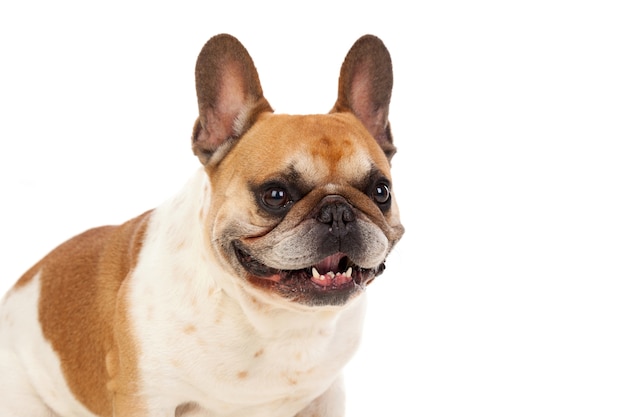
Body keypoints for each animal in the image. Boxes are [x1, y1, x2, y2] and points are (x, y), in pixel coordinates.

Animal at [0, 33, 404, 416]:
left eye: (381, 191)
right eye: (275, 195)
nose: (338, 213)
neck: (273, 319)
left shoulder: (325, 395)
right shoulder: (144, 397)